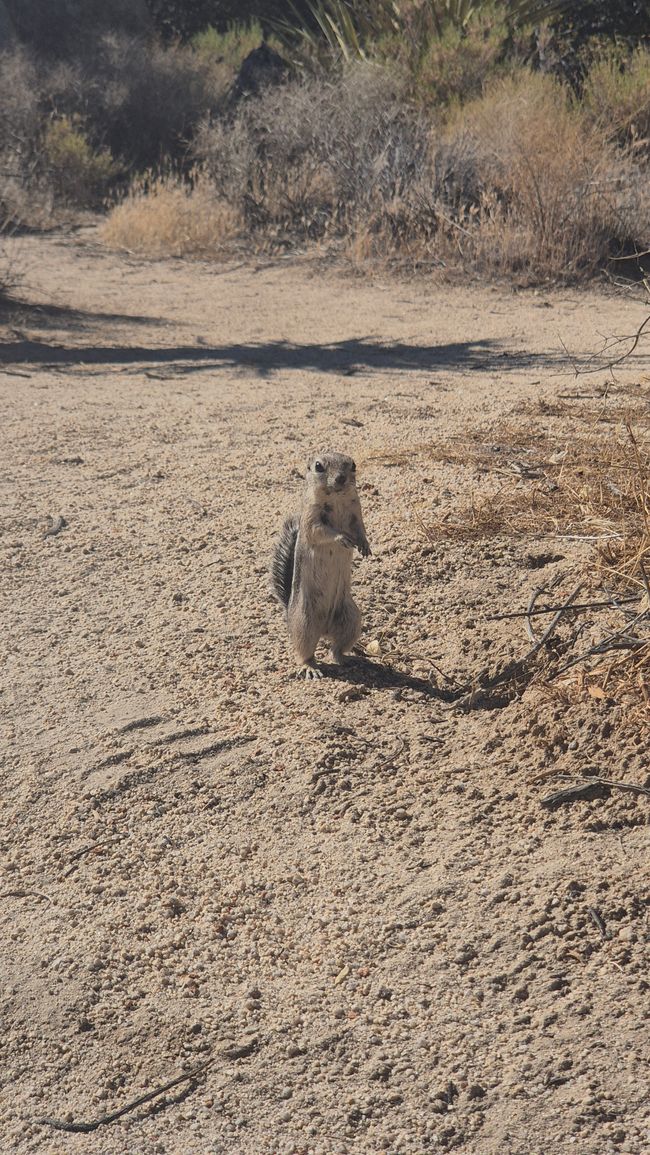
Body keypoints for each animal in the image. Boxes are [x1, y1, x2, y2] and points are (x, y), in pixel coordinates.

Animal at [271, 448, 371, 674]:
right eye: (318, 466)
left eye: (353, 465)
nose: (341, 478)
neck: (336, 497)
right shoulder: (312, 518)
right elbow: (321, 532)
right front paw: (341, 538)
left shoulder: (357, 513)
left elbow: (361, 529)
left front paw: (365, 546)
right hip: (305, 624)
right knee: (304, 652)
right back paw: (310, 667)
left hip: (351, 620)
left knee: (336, 649)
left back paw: (347, 659)